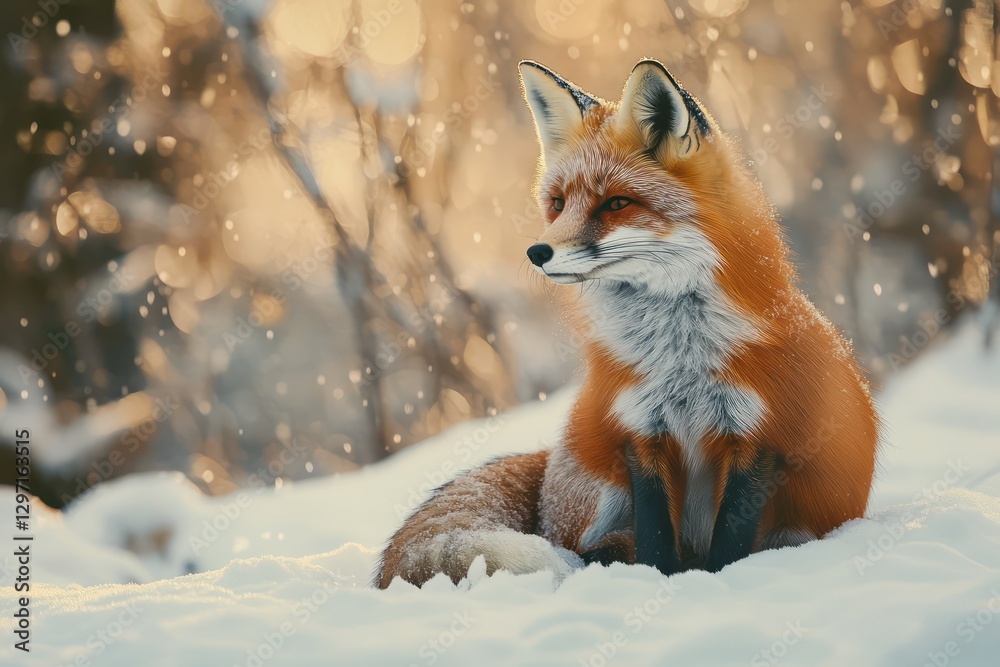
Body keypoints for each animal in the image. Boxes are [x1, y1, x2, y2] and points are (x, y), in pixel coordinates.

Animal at [375, 59, 879, 588]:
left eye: (616, 203)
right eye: (558, 203)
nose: (537, 252)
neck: (681, 355)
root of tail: (548, 459)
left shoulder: (757, 436)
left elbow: (730, 542)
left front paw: (719, 581)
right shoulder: (640, 431)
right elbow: (656, 539)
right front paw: (658, 583)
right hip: (601, 484)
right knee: (588, 545)